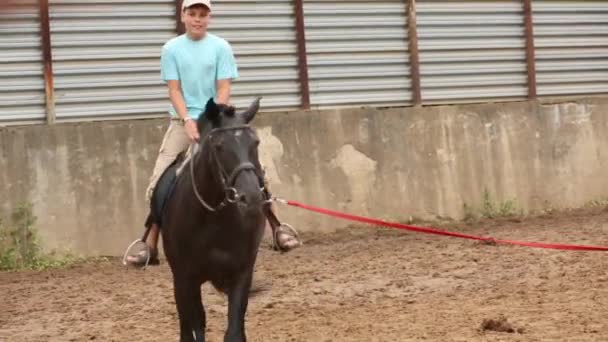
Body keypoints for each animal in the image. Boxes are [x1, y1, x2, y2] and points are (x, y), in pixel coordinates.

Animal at [160, 97, 268, 340]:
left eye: (255, 142)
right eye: (219, 146)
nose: (251, 197)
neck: (214, 219)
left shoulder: (241, 275)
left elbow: (234, 330)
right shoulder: (185, 278)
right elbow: (193, 327)